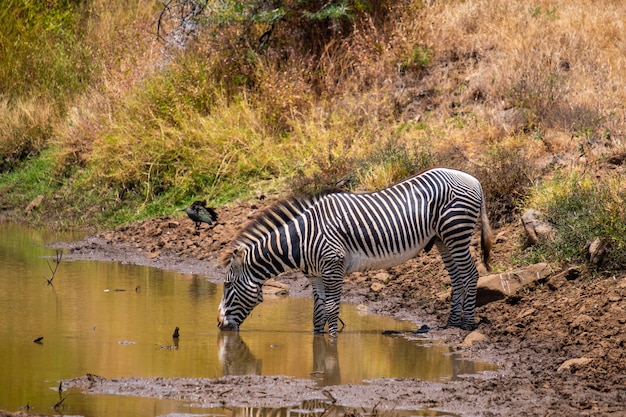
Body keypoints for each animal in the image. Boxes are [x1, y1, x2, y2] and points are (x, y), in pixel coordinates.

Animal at [217, 167, 490, 334]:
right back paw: (452, 323)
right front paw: (318, 342)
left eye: (227, 285)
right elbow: (317, 312)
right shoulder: (315, 275)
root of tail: (474, 179)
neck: (302, 240)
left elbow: (331, 308)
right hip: (443, 239)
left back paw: (467, 324)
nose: (218, 325)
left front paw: (332, 343)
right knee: (457, 278)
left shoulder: (333, 266)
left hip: (456, 232)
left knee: (471, 275)